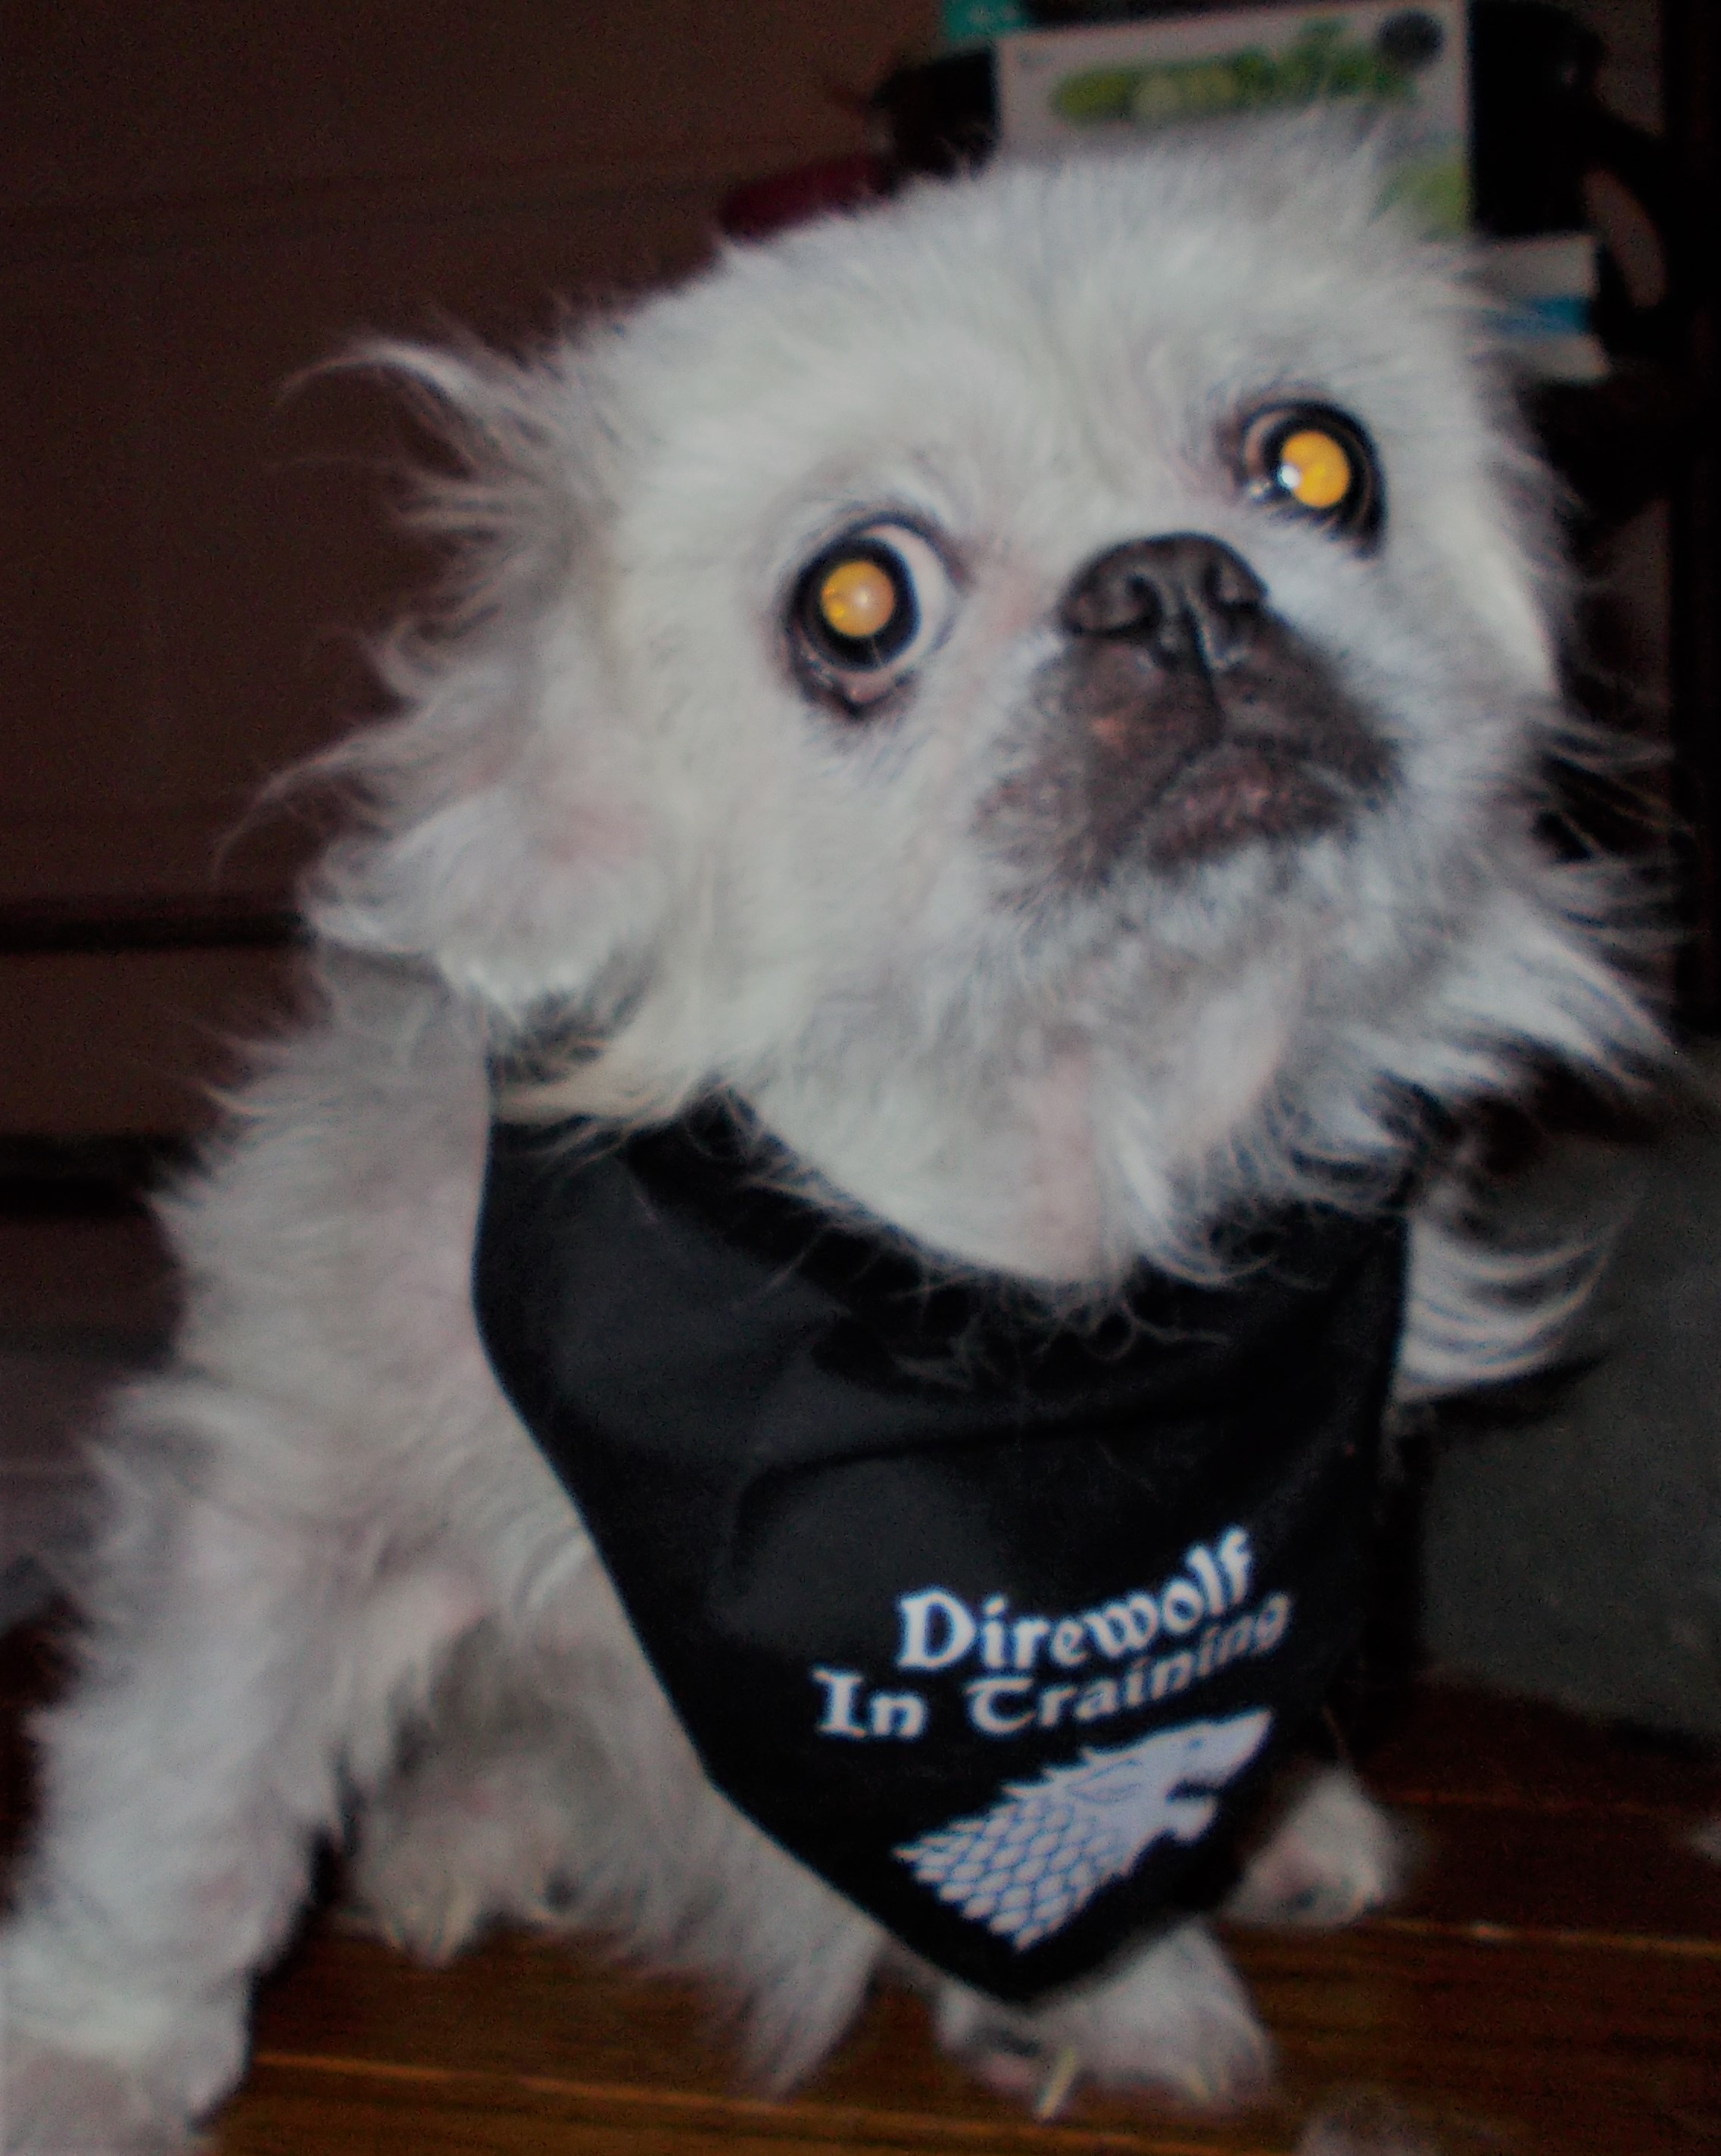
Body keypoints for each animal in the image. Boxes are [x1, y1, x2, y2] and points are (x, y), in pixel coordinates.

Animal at [0, 132, 1660, 2151]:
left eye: (1317, 464)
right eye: (859, 602)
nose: (1172, 582)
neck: (1010, 1255)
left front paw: (1103, 1990)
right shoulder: (283, 1499)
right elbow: (189, 1799)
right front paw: (86, 2055)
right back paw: (462, 1838)